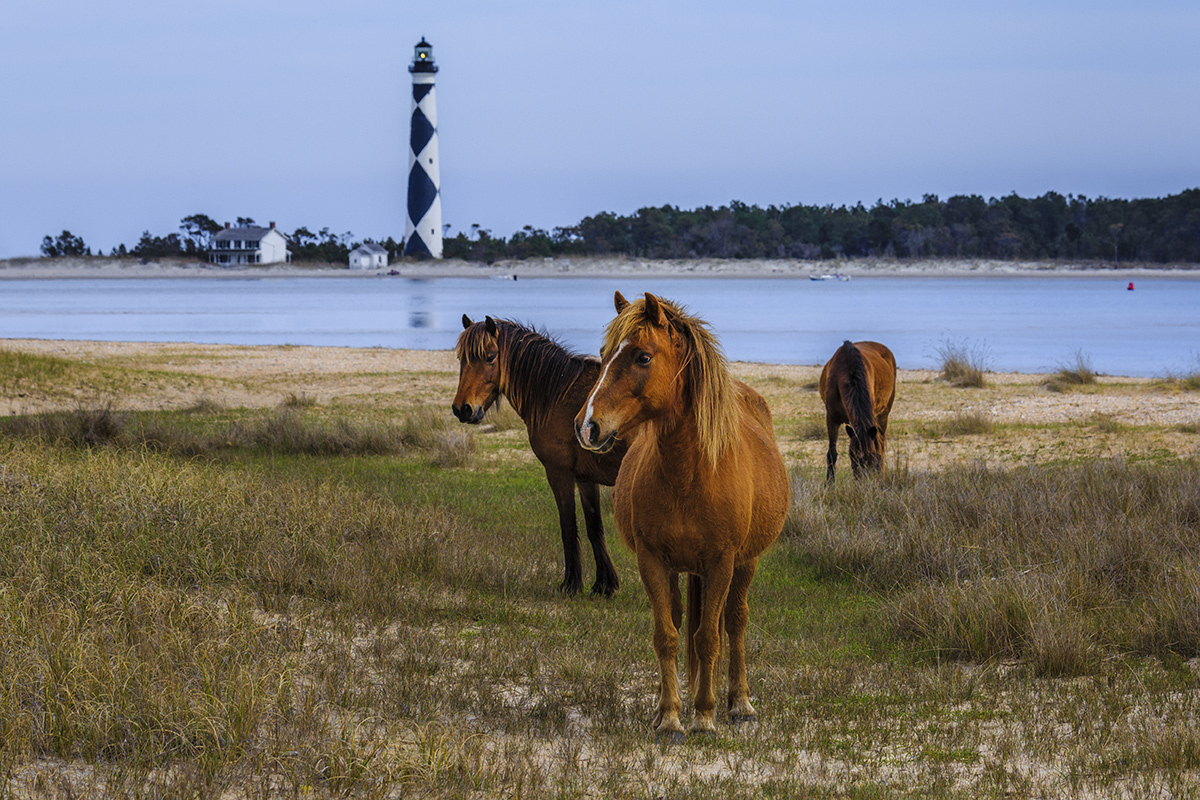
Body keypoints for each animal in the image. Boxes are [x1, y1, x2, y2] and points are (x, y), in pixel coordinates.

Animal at [452, 314, 625, 596]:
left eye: (490, 357)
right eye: (461, 358)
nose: (462, 409)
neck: (560, 394)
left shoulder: (559, 474)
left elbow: (568, 527)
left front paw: (571, 584)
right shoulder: (586, 479)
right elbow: (594, 528)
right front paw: (603, 585)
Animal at [575, 292, 790, 737]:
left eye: (642, 356)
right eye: (603, 355)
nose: (587, 427)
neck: (690, 472)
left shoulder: (722, 562)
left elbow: (709, 637)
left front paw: (705, 715)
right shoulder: (653, 560)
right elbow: (667, 635)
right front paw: (672, 716)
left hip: (745, 563)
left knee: (735, 622)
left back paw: (740, 702)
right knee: (676, 618)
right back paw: (665, 706)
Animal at [818, 340, 896, 485]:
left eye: (871, 455)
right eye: (852, 456)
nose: (863, 484)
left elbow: (878, 448)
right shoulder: (831, 418)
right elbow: (832, 453)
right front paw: (829, 485)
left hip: (883, 414)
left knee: (881, 445)